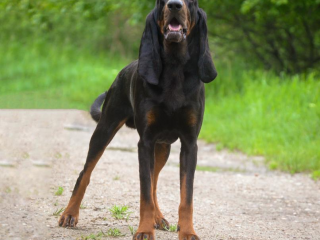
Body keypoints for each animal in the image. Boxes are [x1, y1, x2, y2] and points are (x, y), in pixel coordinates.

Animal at [58, 0, 216, 239]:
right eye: (161, 2)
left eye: (192, 2)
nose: (174, 4)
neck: (174, 66)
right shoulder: (145, 142)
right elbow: (145, 196)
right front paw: (144, 230)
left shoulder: (189, 143)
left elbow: (185, 196)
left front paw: (187, 231)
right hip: (105, 129)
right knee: (85, 173)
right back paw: (70, 213)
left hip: (163, 147)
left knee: (154, 182)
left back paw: (158, 218)